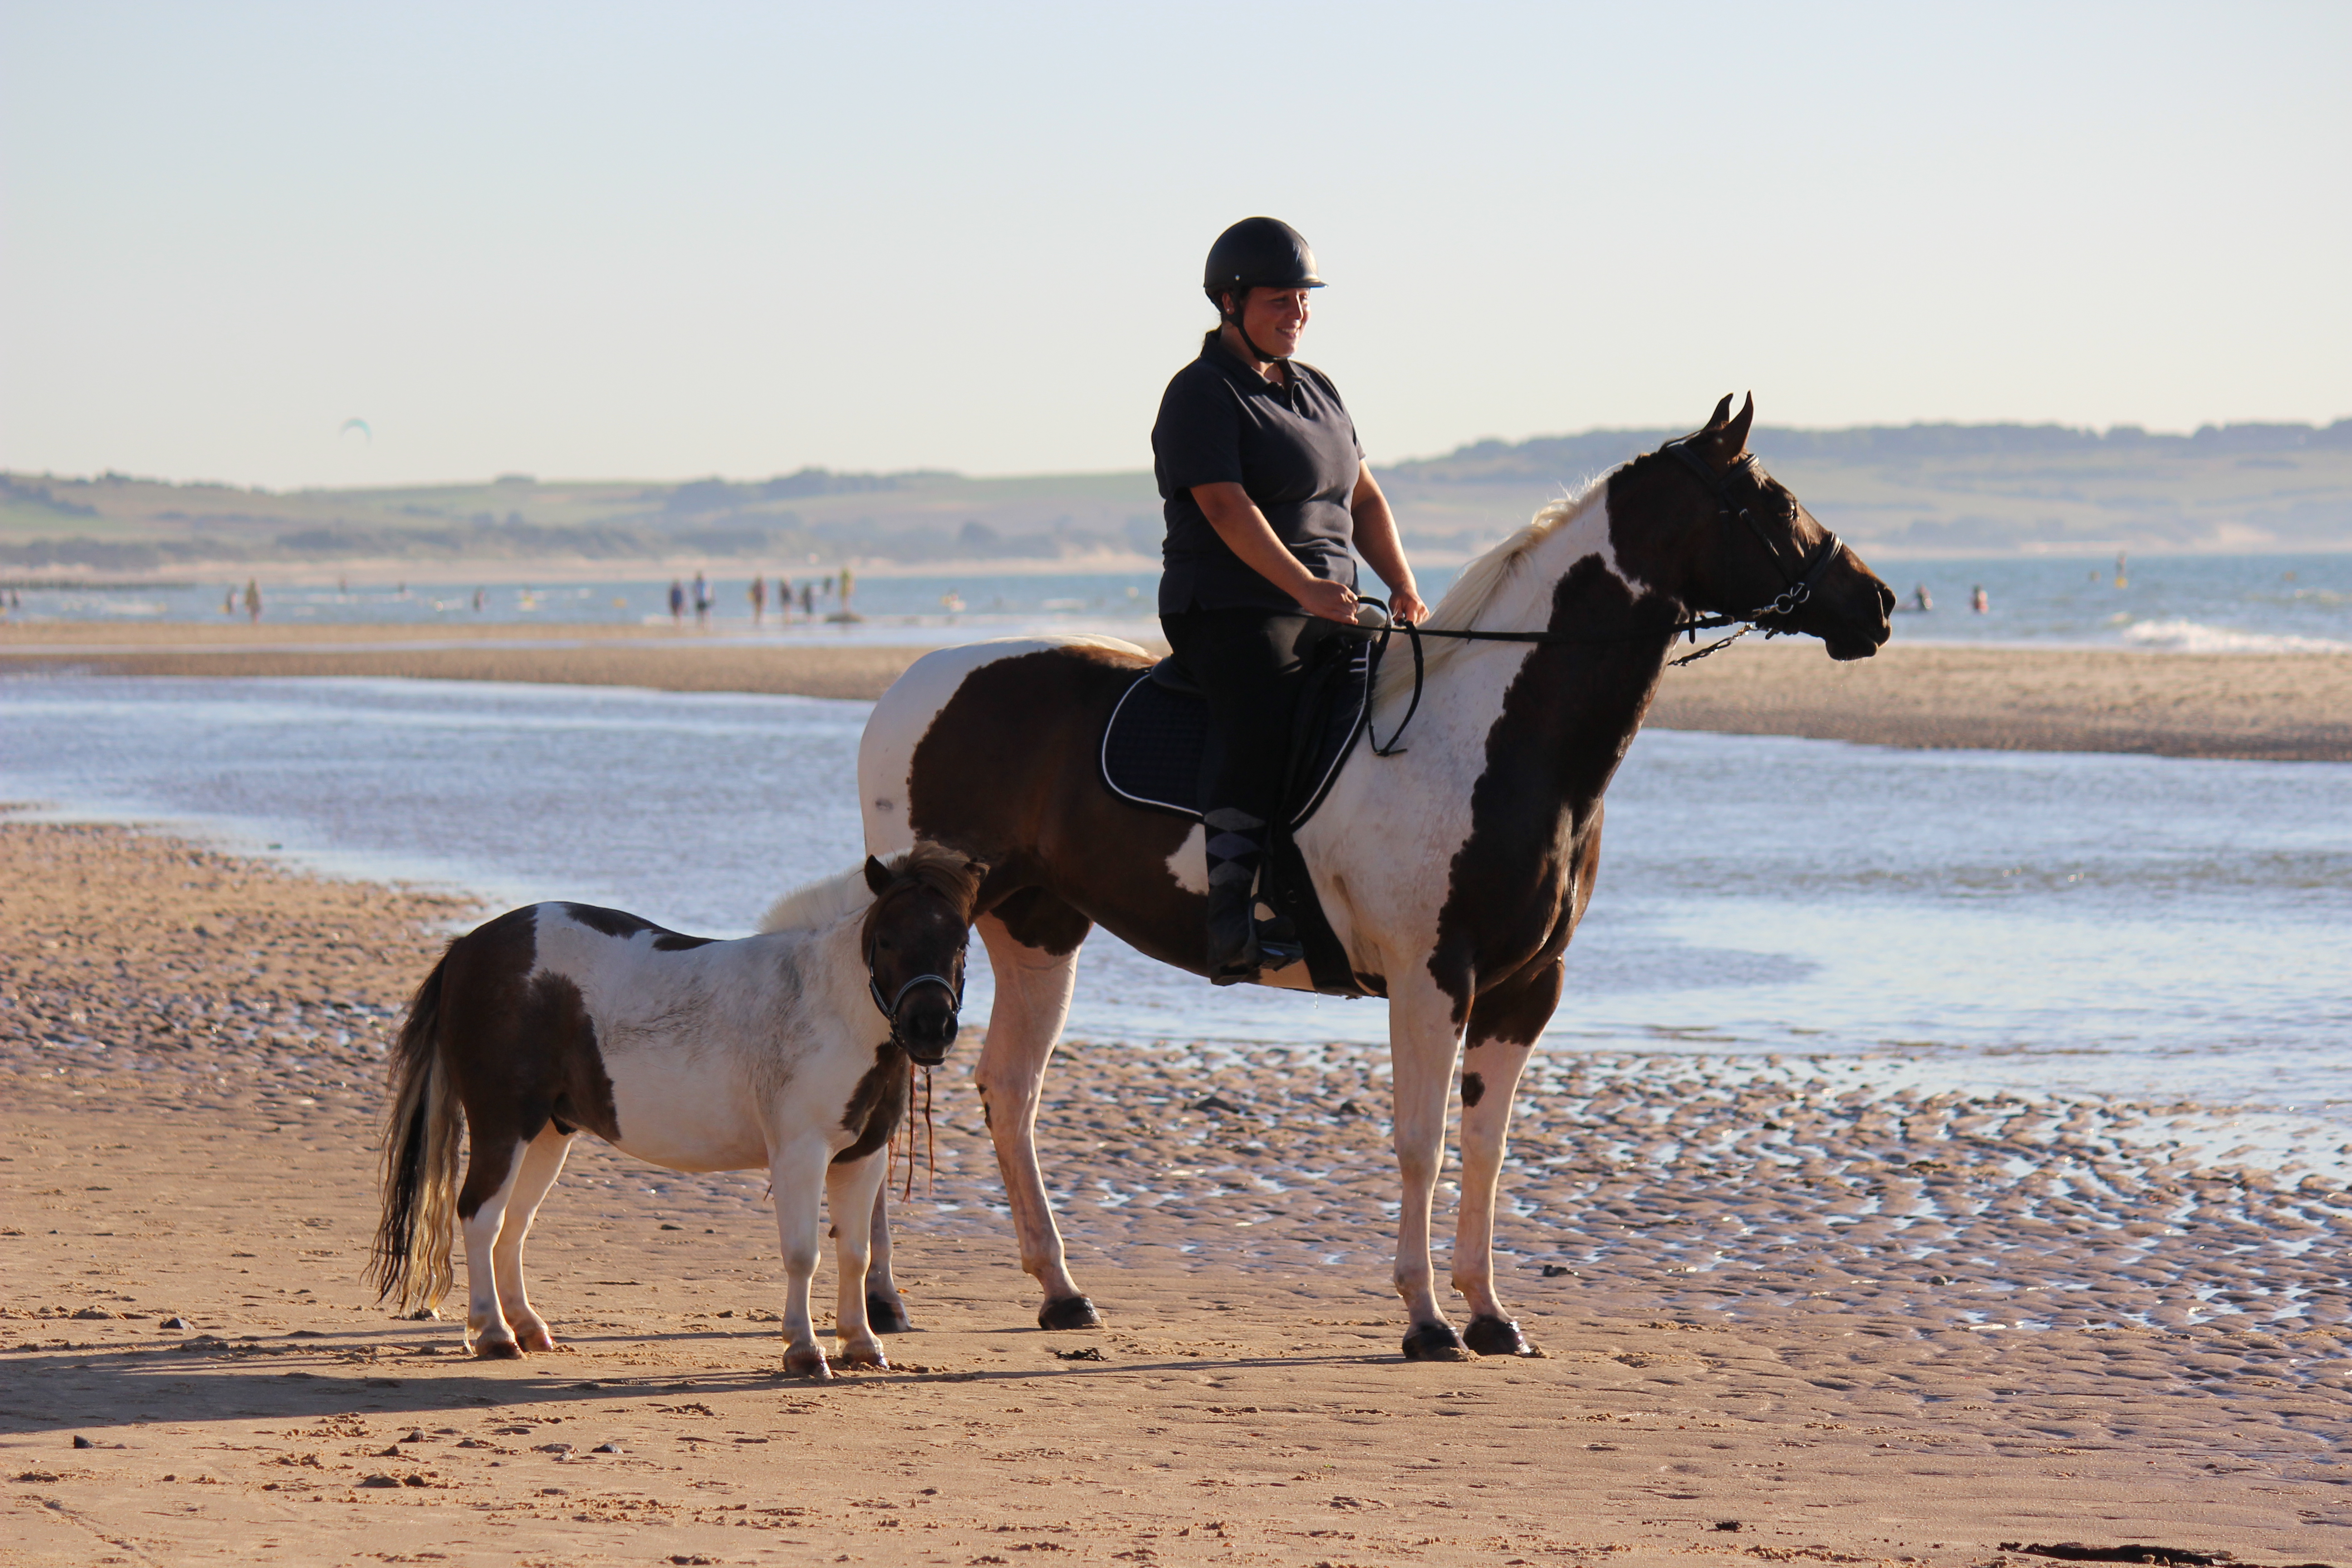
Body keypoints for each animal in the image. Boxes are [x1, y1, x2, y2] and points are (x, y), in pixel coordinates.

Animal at [364, 851, 983, 1382]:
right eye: (886, 939)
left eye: (960, 942)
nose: (931, 1028)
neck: (830, 1005)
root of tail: (470, 945)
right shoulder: (801, 1154)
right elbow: (803, 1254)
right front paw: (805, 1351)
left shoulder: (863, 1155)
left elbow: (855, 1252)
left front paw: (860, 1343)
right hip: (505, 1125)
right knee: (480, 1217)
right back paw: (494, 1334)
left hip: (548, 1134)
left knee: (513, 1226)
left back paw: (529, 1328)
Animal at [861, 395, 1891, 1363]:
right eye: (1771, 500)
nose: (1876, 603)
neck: (1491, 736)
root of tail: (910, 684)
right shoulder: (1430, 978)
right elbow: (1420, 1144)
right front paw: (1427, 1321)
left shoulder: (1525, 988)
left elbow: (1486, 1147)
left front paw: (1490, 1315)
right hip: (931, 930)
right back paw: (878, 1301)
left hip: (1038, 928)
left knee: (1010, 1091)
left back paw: (1058, 1291)